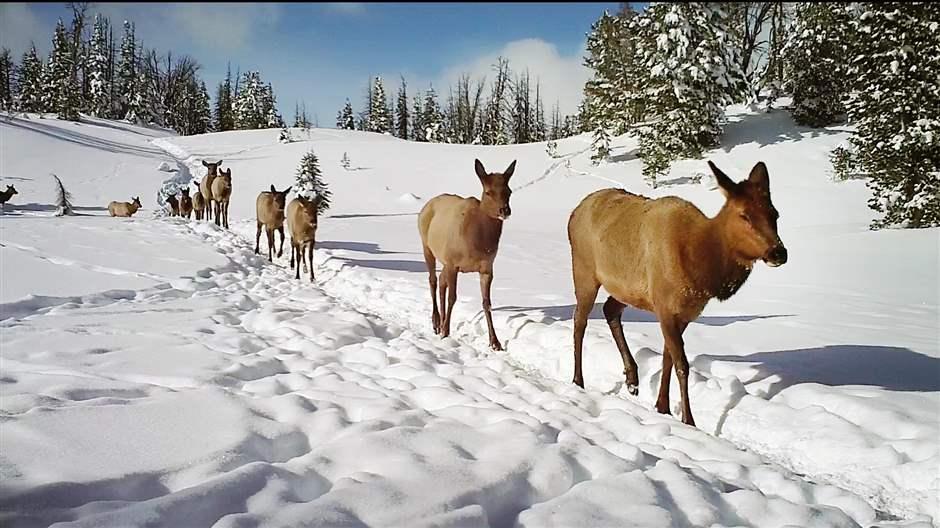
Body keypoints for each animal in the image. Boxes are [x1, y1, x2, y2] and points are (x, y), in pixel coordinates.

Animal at [416, 159, 516, 352]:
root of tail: (427, 205)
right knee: (433, 280)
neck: (478, 243)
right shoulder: (453, 263)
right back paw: (437, 322)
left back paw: (440, 322)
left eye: (509, 191)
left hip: (444, 261)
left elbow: (487, 303)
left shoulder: (487, 268)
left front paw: (495, 342)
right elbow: (452, 297)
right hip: (427, 247)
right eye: (488, 192)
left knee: (441, 281)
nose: (505, 210)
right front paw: (445, 332)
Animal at [564, 160, 784, 424]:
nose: (779, 252)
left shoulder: (685, 313)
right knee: (580, 321)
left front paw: (662, 406)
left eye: (774, 213)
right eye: (744, 215)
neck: (702, 269)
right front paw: (688, 420)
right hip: (584, 272)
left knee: (609, 310)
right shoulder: (665, 307)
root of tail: (573, 213)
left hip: (626, 290)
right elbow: (682, 365)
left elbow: (667, 358)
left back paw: (632, 378)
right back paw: (578, 380)